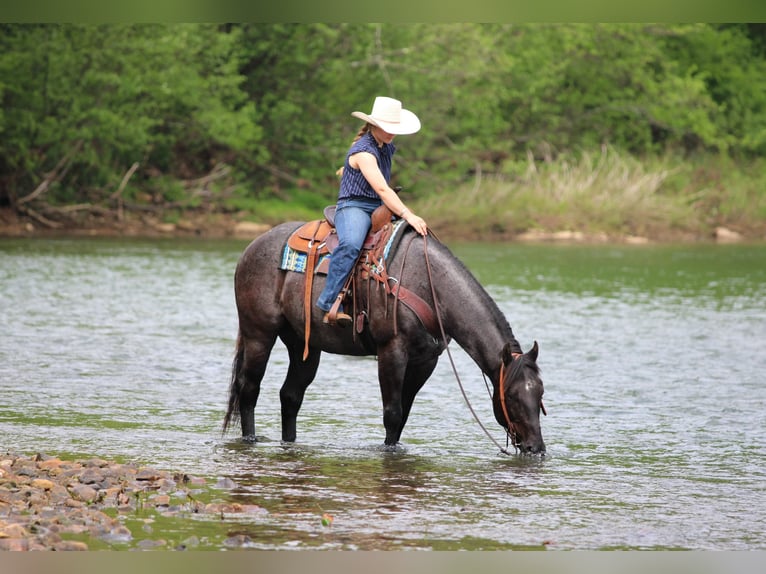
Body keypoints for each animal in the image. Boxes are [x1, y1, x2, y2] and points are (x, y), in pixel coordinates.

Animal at [222, 219, 546, 454]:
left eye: (540, 393)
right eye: (512, 396)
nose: (536, 448)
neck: (430, 285)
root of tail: (251, 248)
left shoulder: (425, 361)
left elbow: (403, 415)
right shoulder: (392, 351)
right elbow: (392, 412)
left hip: (304, 345)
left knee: (290, 395)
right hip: (258, 333)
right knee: (248, 388)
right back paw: (250, 440)